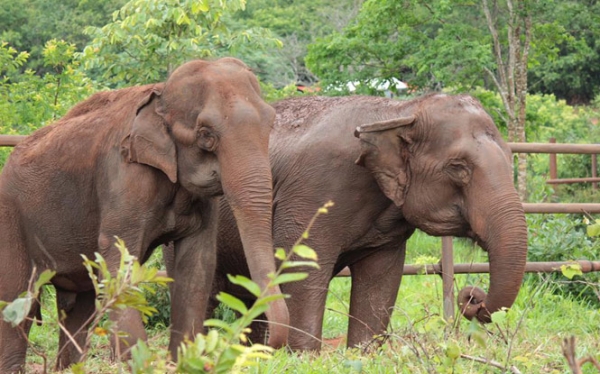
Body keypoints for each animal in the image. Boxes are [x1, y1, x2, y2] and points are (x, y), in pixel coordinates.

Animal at [0, 57, 288, 372]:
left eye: (271, 123)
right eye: (205, 135)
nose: (271, 347)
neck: (159, 95)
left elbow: (196, 265)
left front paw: (183, 362)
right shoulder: (125, 176)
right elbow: (118, 261)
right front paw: (146, 363)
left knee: (80, 307)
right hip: (9, 216)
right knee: (15, 300)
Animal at [210, 93, 524, 350]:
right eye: (458, 167)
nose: (472, 297)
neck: (400, 111)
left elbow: (381, 279)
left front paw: (362, 353)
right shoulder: (313, 192)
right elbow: (300, 267)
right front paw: (302, 356)